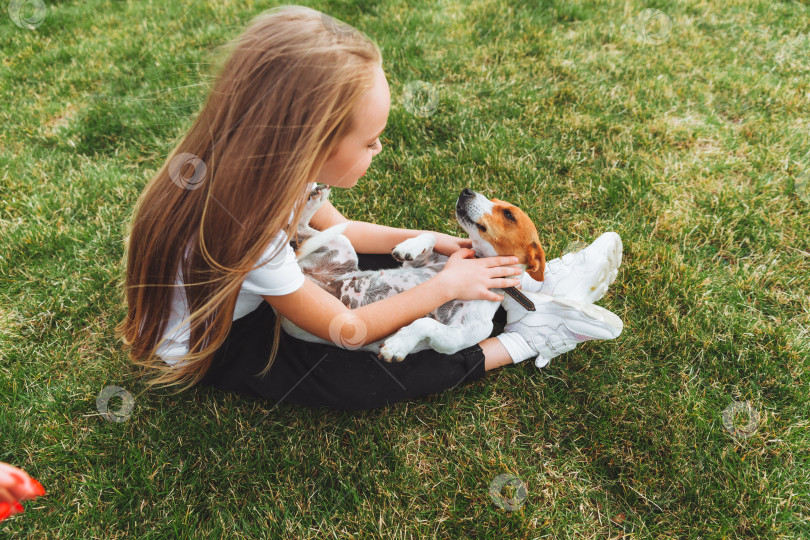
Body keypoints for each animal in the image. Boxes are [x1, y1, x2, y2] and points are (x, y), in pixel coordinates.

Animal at [274, 186, 548, 362]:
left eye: (509, 214)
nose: (467, 191)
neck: (478, 261)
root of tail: (305, 276)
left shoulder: (458, 336)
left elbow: (425, 323)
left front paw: (399, 343)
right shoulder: (424, 263)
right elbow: (430, 236)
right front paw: (410, 246)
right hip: (342, 242)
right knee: (300, 227)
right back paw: (313, 200)